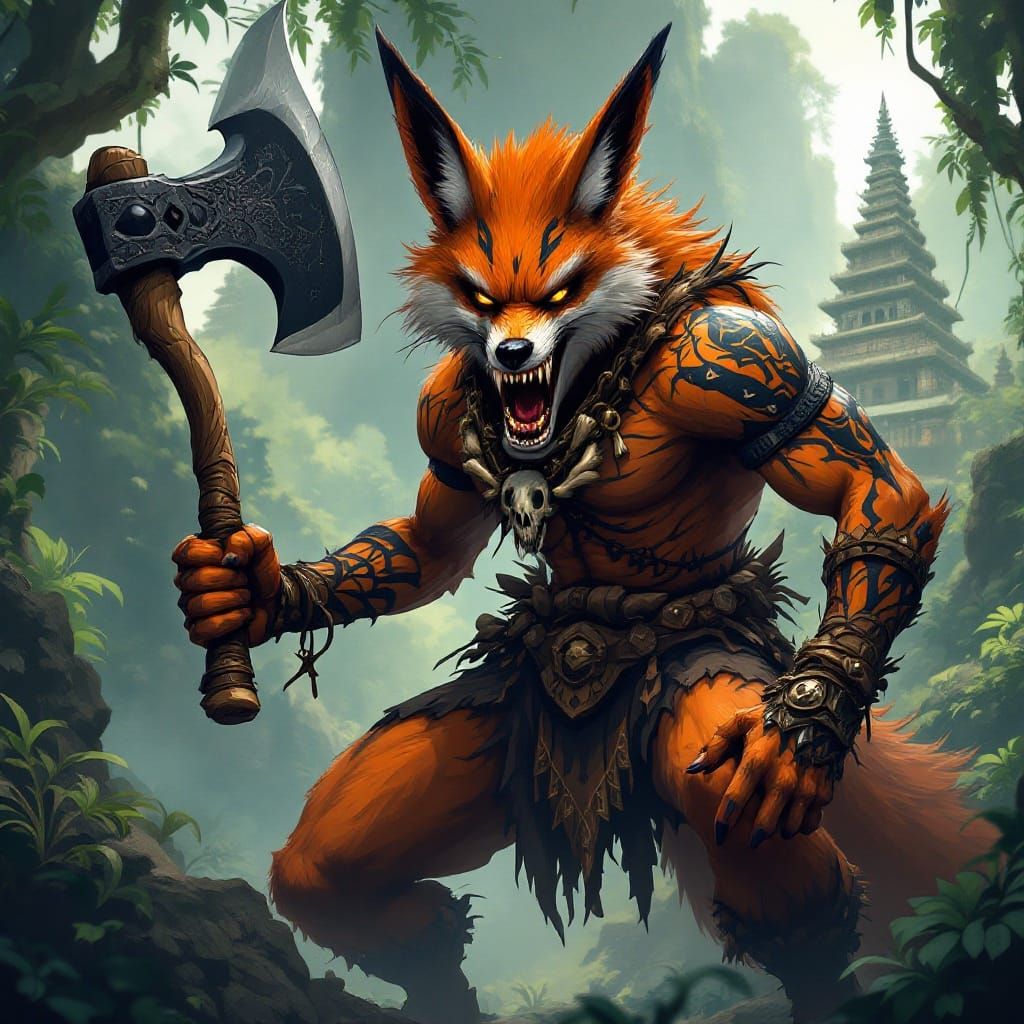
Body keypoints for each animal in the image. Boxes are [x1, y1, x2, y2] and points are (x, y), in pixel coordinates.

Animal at [173, 24, 993, 1024]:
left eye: (563, 290)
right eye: (483, 298)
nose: (513, 351)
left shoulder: (738, 361)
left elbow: (870, 490)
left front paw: (801, 730)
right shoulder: (442, 411)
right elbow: (429, 546)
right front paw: (242, 590)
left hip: (702, 687)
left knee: (751, 833)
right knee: (328, 868)